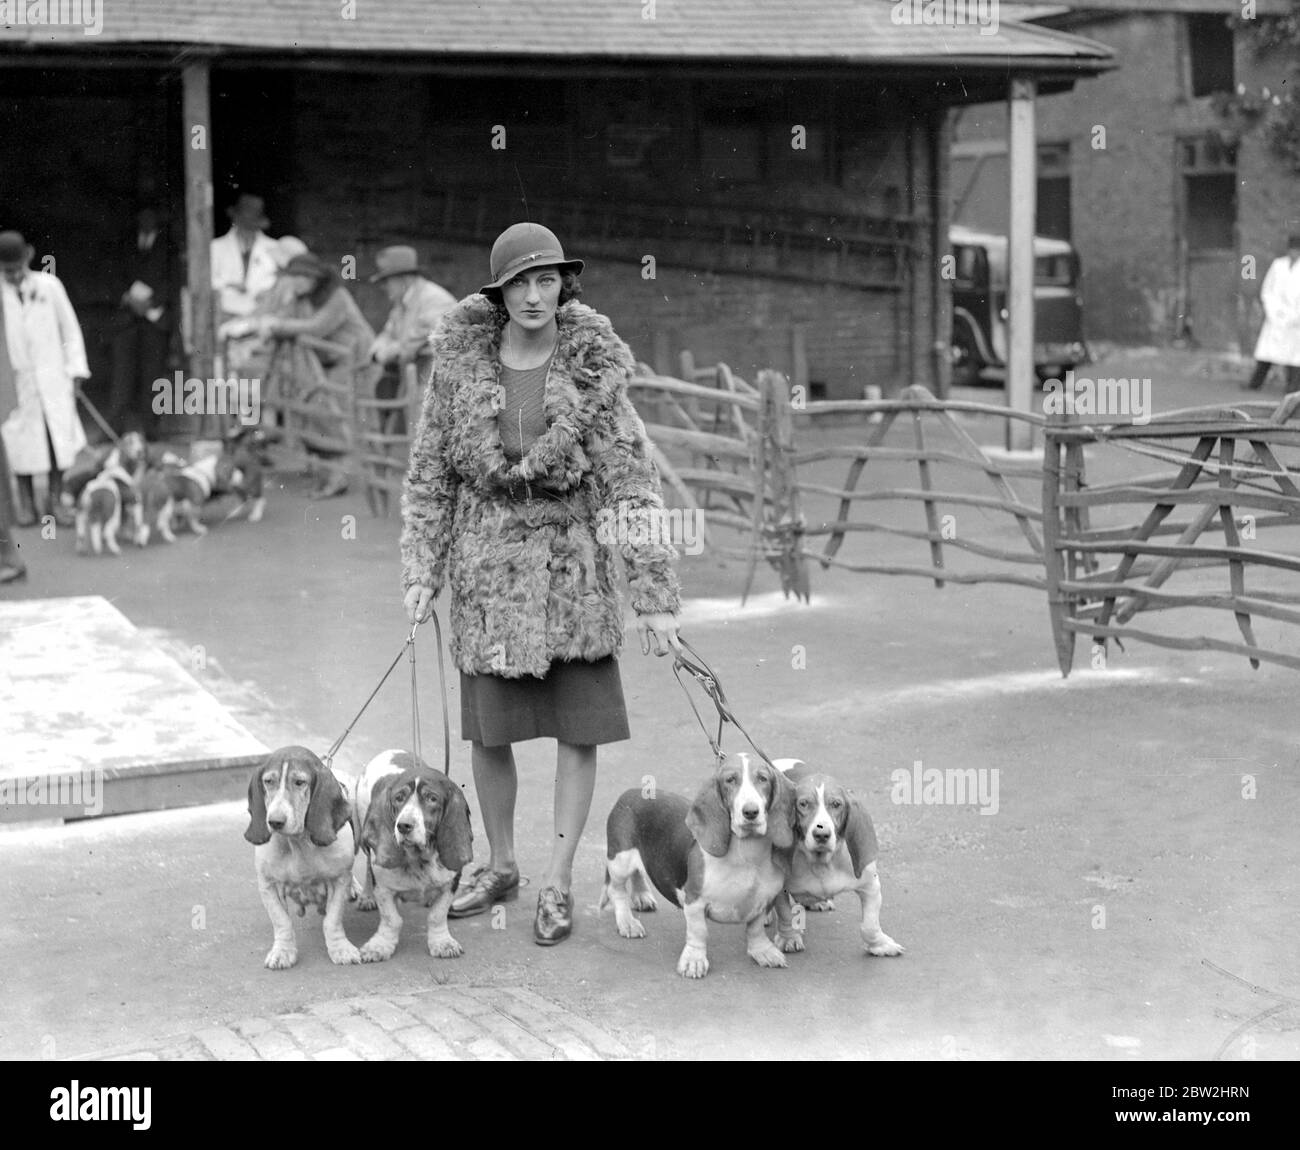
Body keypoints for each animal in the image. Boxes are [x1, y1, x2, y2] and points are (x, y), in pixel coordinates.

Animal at [239, 743, 358, 966]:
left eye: (300, 782)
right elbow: (282, 921)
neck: (298, 843)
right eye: (268, 781)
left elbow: (332, 920)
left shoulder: (338, 881)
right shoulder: (268, 886)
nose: (275, 822)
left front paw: (340, 949)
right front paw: (283, 952)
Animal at [353, 743, 475, 961]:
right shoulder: (383, 886)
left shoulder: (450, 882)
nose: (403, 826)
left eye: (432, 798)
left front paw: (442, 943)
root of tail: (390, 751)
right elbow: (391, 919)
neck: (419, 858)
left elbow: (437, 915)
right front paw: (380, 946)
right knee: (368, 866)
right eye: (399, 798)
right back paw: (367, 897)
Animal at [595, 753, 790, 977]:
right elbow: (699, 932)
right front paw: (694, 961)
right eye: (730, 780)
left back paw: (642, 896)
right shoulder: (694, 901)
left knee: (638, 873)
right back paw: (627, 922)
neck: (747, 855)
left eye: (763, 779)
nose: (751, 812)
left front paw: (763, 951)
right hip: (620, 861)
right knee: (617, 891)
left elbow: (756, 929)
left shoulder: (765, 900)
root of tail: (630, 793)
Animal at [769, 758, 904, 956]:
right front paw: (789, 938)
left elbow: (869, 925)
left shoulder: (870, 886)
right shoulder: (780, 889)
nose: (821, 834)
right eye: (803, 804)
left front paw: (880, 945)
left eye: (836, 804)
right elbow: (785, 913)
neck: (823, 862)